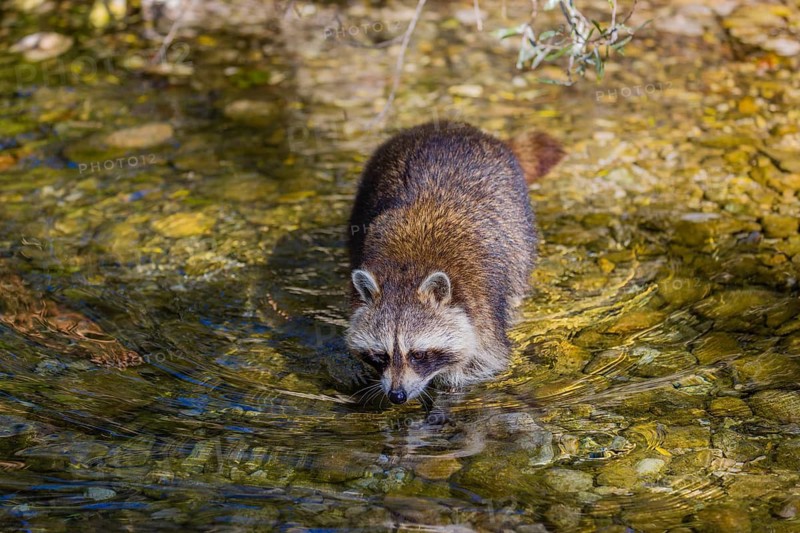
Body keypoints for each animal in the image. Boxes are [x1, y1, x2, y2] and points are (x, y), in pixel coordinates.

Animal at [346, 121, 564, 405]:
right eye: (381, 355)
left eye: (418, 354)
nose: (397, 395)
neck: (409, 267)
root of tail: (448, 127)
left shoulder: (482, 311)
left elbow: (484, 360)